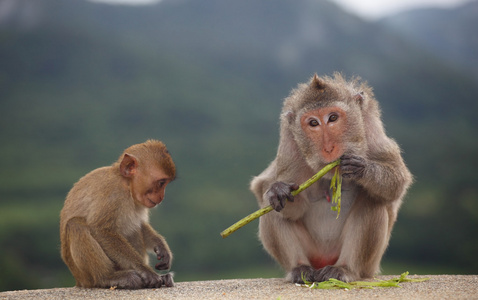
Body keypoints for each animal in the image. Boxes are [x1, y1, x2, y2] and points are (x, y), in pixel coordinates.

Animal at [59, 139, 176, 290]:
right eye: (161, 183)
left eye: (165, 183)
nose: (162, 197)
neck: (126, 185)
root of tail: (78, 281)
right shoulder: (112, 194)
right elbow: (101, 230)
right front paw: (145, 270)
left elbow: (140, 224)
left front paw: (161, 247)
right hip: (83, 275)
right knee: (75, 225)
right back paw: (107, 278)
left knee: (133, 228)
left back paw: (163, 278)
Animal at [250, 73, 410, 284]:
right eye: (313, 123)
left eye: (333, 118)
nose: (328, 148)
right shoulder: (289, 148)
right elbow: (272, 192)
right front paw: (277, 191)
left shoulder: (372, 133)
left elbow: (397, 180)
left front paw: (362, 170)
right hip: (313, 252)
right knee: (271, 209)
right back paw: (299, 268)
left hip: (367, 265)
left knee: (372, 201)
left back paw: (344, 269)